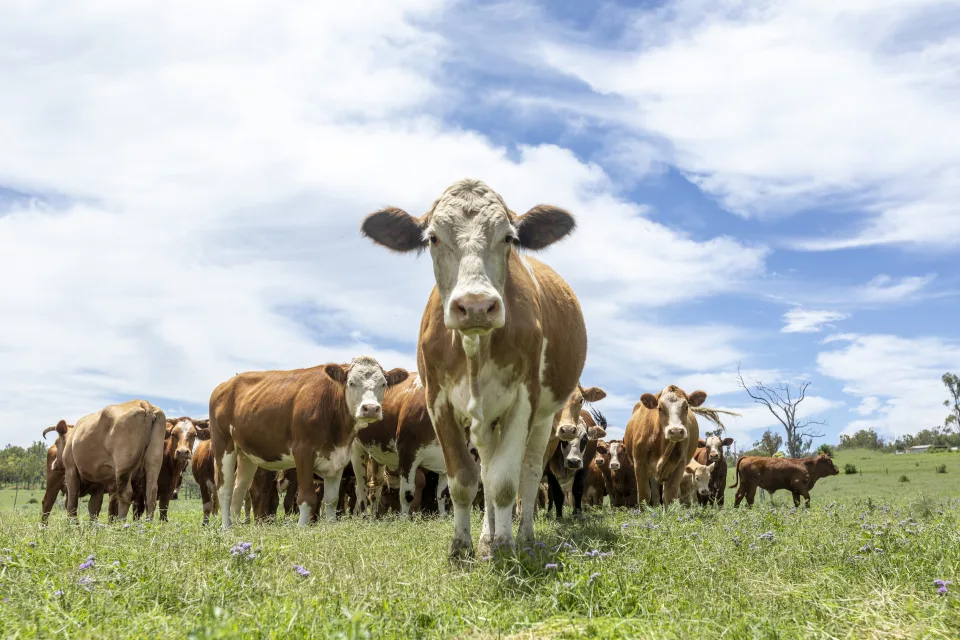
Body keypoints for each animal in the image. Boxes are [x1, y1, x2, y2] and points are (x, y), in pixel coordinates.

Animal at [209, 356, 408, 528]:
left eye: (383, 384)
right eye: (351, 383)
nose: (371, 408)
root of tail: (224, 385)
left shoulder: (338, 456)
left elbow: (332, 499)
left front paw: (330, 525)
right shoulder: (303, 451)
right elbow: (306, 496)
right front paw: (302, 527)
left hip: (246, 454)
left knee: (239, 489)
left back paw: (236, 525)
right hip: (223, 444)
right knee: (224, 489)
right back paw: (226, 528)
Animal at [350, 372, 448, 517]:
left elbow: (443, 495)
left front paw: (443, 517)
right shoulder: (407, 453)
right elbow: (407, 495)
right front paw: (404, 519)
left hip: (378, 453)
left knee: (377, 486)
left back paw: (375, 516)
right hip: (357, 450)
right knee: (361, 488)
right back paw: (363, 516)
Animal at [361, 178, 587, 560]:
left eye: (508, 237)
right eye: (433, 238)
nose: (477, 306)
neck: (475, 349)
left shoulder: (524, 400)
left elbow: (505, 482)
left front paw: (506, 545)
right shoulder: (438, 401)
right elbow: (464, 481)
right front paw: (462, 545)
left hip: (545, 418)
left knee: (527, 475)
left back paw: (523, 536)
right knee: (486, 466)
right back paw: (486, 537)